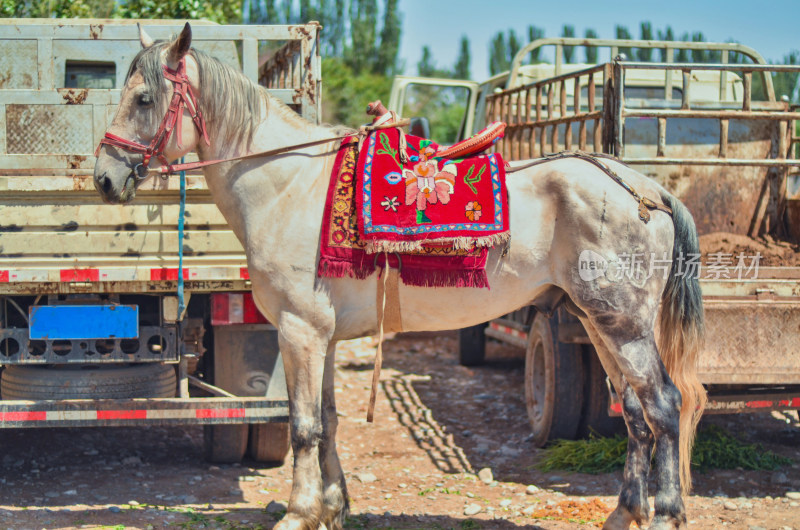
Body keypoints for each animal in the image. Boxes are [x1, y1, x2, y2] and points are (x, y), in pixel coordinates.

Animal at [95, 24, 708, 528]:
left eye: (144, 98)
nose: (104, 177)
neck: (288, 185)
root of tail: (642, 188)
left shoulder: (299, 331)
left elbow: (303, 427)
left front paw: (299, 514)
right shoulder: (322, 336)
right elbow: (328, 421)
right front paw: (333, 509)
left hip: (623, 325)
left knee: (664, 405)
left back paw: (665, 515)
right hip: (599, 324)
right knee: (635, 414)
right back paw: (624, 513)